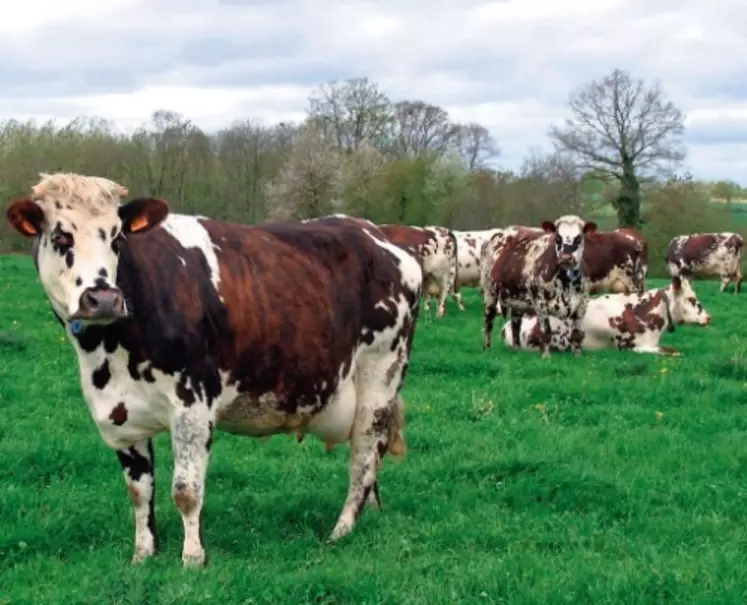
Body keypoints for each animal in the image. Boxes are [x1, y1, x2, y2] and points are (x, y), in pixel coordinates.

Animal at [5, 171, 424, 568]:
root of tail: (376, 234)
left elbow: (186, 491)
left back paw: (342, 530)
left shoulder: (193, 402)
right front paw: (143, 555)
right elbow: (139, 491)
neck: (108, 354)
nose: (104, 298)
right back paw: (371, 513)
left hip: (380, 376)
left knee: (364, 455)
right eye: (60, 236)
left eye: (117, 238)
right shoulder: (118, 415)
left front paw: (193, 560)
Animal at [482, 215, 600, 356]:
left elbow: (576, 335)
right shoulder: (540, 302)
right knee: (488, 321)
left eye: (579, 238)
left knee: (516, 324)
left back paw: (516, 349)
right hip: (490, 292)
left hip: (517, 299)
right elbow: (546, 332)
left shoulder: (582, 303)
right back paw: (487, 348)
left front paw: (578, 355)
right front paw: (546, 356)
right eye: (557, 237)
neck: (567, 282)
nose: (566, 258)